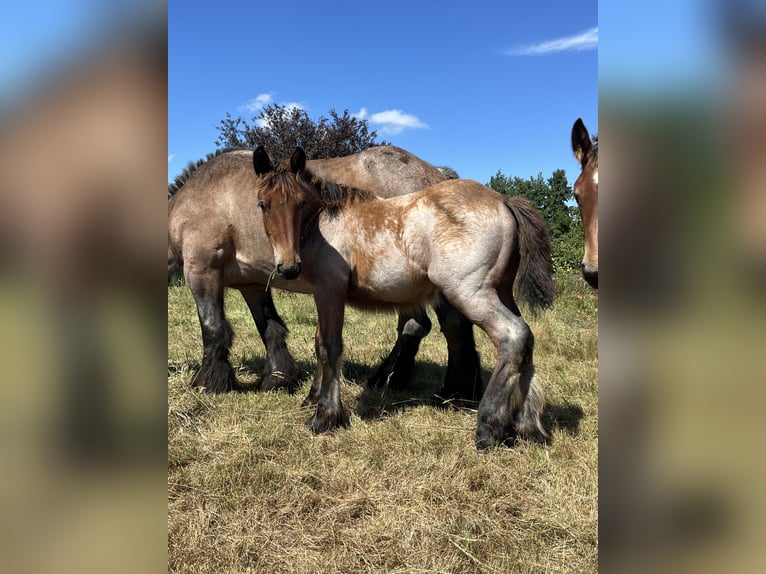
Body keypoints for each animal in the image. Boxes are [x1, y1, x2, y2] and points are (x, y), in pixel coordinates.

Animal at [168, 146, 484, 399]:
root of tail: (439, 175)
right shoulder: (252, 284)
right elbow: (269, 328)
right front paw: (276, 378)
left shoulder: (201, 269)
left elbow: (213, 328)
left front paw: (209, 383)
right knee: (418, 327)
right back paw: (390, 379)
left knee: (450, 327)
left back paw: (453, 389)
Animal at [253, 146, 556, 449]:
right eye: (263, 204)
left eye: (302, 203)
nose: (288, 267)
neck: (326, 223)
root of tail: (504, 200)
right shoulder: (323, 293)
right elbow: (319, 343)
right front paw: (312, 399)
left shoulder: (330, 291)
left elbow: (330, 347)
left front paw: (324, 417)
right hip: (502, 292)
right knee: (527, 339)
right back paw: (528, 426)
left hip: (471, 293)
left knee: (512, 336)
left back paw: (488, 427)